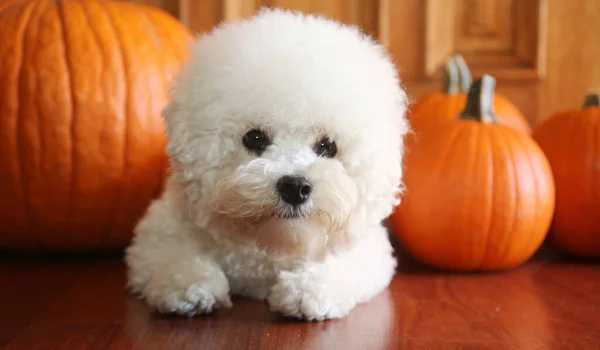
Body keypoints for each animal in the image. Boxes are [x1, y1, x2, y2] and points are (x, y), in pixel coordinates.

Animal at [125, 8, 410, 322]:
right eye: (255, 137)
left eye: (327, 147)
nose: (295, 187)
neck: (267, 248)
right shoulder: (163, 230)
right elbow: (171, 255)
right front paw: (190, 287)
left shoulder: (366, 249)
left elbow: (341, 264)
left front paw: (306, 291)